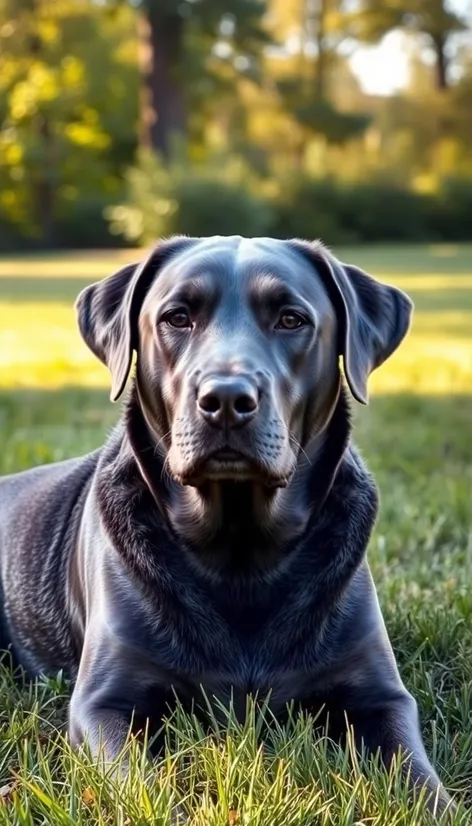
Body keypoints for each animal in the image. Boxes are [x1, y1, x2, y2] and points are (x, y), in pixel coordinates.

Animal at [0, 233, 452, 812]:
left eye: (291, 319)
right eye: (176, 317)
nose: (227, 400)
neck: (241, 550)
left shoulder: (382, 696)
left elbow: (421, 780)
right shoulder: (104, 705)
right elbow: (143, 787)